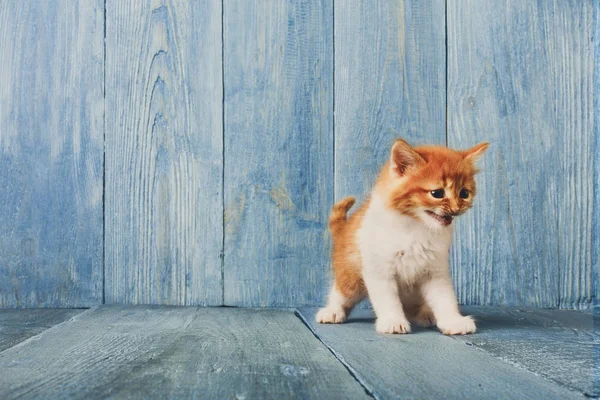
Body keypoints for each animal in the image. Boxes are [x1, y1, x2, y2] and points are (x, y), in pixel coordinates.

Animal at [316, 138, 490, 334]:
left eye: (464, 193)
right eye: (437, 193)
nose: (455, 209)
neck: (417, 227)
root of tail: (344, 228)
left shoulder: (435, 270)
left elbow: (445, 298)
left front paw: (453, 321)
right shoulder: (380, 269)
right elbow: (388, 300)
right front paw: (393, 321)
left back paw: (425, 314)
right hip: (350, 271)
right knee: (341, 291)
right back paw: (332, 311)